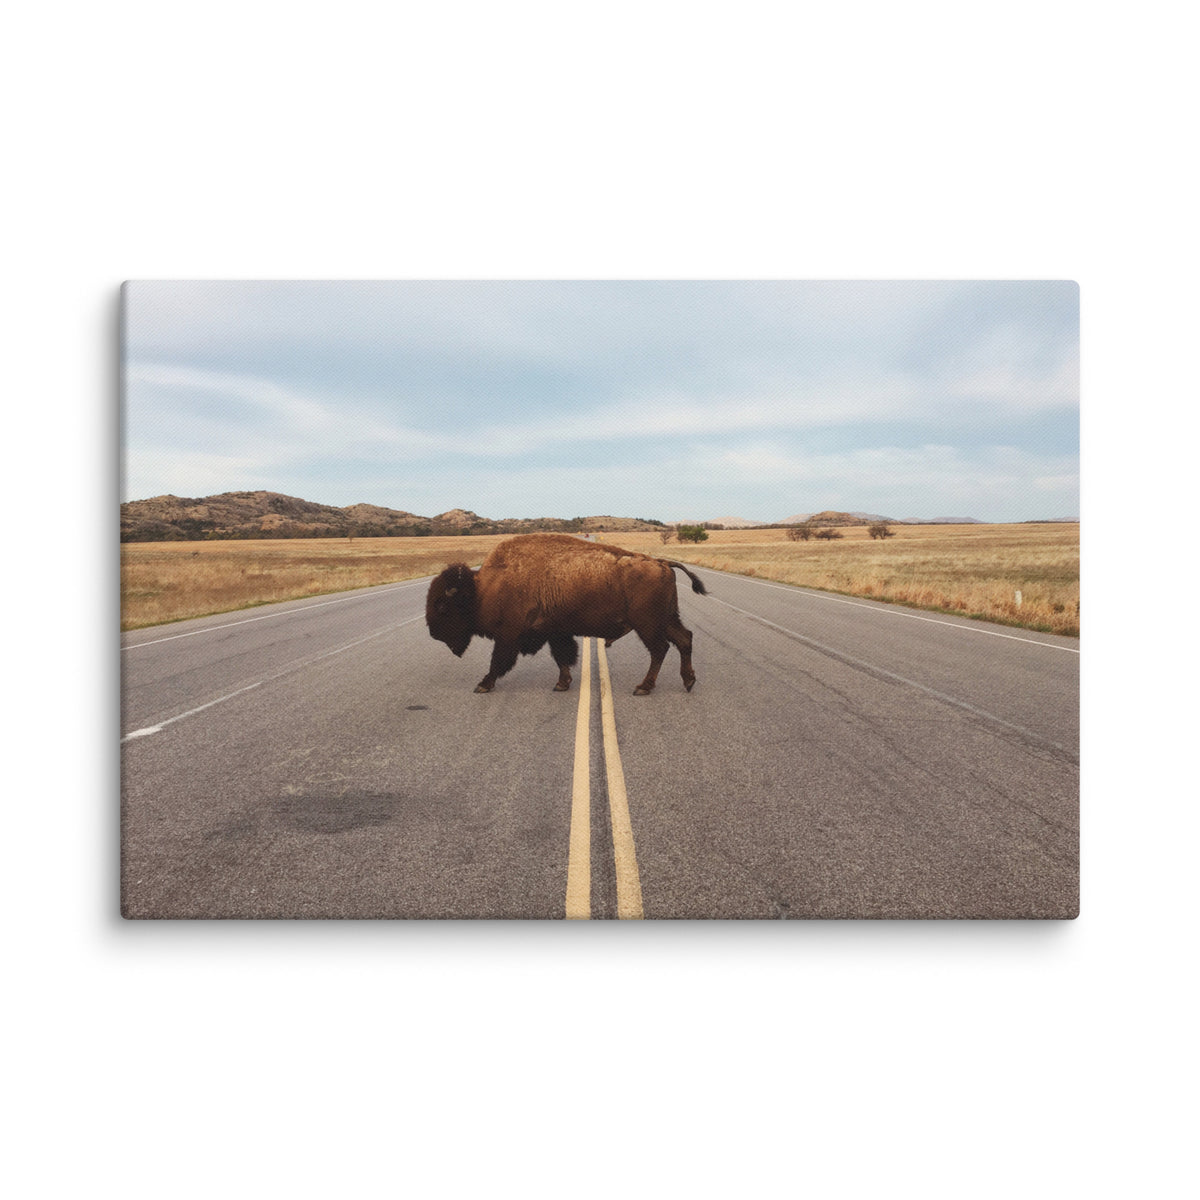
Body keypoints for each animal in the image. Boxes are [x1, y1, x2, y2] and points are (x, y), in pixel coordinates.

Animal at [425, 533, 707, 695]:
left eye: (442, 606)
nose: (433, 634)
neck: (484, 588)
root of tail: (662, 562)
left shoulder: (508, 636)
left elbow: (498, 662)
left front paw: (483, 685)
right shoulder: (554, 632)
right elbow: (562, 657)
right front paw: (562, 684)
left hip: (648, 624)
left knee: (660, 649)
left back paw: (643, 687)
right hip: (666, 619)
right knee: (684, 639)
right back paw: (688, 682)